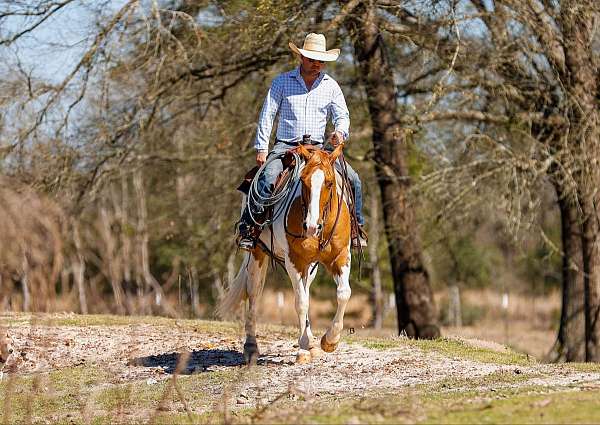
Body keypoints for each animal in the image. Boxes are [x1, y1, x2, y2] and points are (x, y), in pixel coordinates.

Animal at [219, 144, 352, 362]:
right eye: (304, 181)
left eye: (329, 182)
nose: (311, 226)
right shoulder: (294, 261)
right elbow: (301, 303)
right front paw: (303, 349)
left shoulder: (340, 256)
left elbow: (343, 294)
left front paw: (329, 341)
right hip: (257, 253)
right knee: (254, 292)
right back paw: (251, 346)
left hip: (310, 266)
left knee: (306, 290)